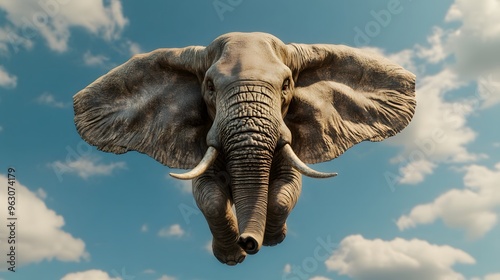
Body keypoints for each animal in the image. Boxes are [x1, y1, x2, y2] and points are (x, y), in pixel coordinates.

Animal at [73, 31, 414, 266]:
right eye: (210, 86)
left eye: (287, 85)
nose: (249, 242)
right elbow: (209, 195)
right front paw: (230, 258)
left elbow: (287, 188)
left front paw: (274, 239)